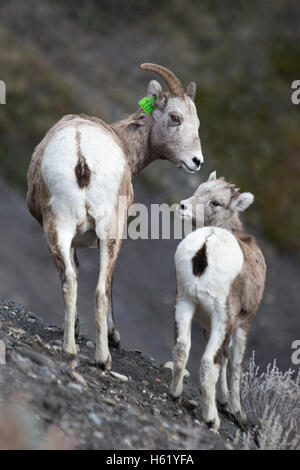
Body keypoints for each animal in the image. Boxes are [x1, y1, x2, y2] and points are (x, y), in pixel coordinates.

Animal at [26, 63, 204, 370]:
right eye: (175, 117)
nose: (197, 162)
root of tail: (80, 154)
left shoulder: (73, 242)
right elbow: (109, 285)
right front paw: (113, 337)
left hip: (58, 228)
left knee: (70, 281)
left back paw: (70, 351)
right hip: (109, 232)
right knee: (100, 289)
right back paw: (103, 358)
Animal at [170, 171, 266, 432]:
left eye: (215, 202)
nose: (183, 206)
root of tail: (205, 246)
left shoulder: (206, 324)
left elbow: (223, 360)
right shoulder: (241, 324)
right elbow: (233, 363)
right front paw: (235, 411)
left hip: (184, 302)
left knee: (182, 348)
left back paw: (175, 393)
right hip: (222, 318)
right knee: (207, 363)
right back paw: (212, 418)